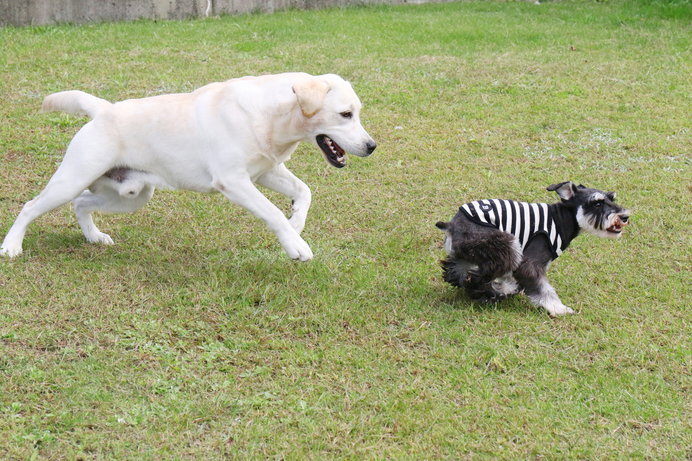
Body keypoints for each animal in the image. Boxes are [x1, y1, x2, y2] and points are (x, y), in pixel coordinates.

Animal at [0, 72, 376, 258]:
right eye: (346, 114)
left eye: (357, 112)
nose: (372, 146)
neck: (270, 116)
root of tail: (103, 109)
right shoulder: (234, 182)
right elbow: (271, 212)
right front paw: (295, 246)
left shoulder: (265, 171)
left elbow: (304, 191)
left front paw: (296, 223)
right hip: (72, 180)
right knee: (31, 206)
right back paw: (12, 247)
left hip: (131, 195)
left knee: (81, 204)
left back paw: (94, 237)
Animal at [438, 181, 632, 314]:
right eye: (597, 203)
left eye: (611, 198)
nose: (624, 216)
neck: (562, 218)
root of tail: (452, 224)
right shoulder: (530, 263)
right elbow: (543, 288)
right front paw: (559, 308)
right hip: (507, 246)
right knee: (478, 277)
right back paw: (494, 292)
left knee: (459, 270)